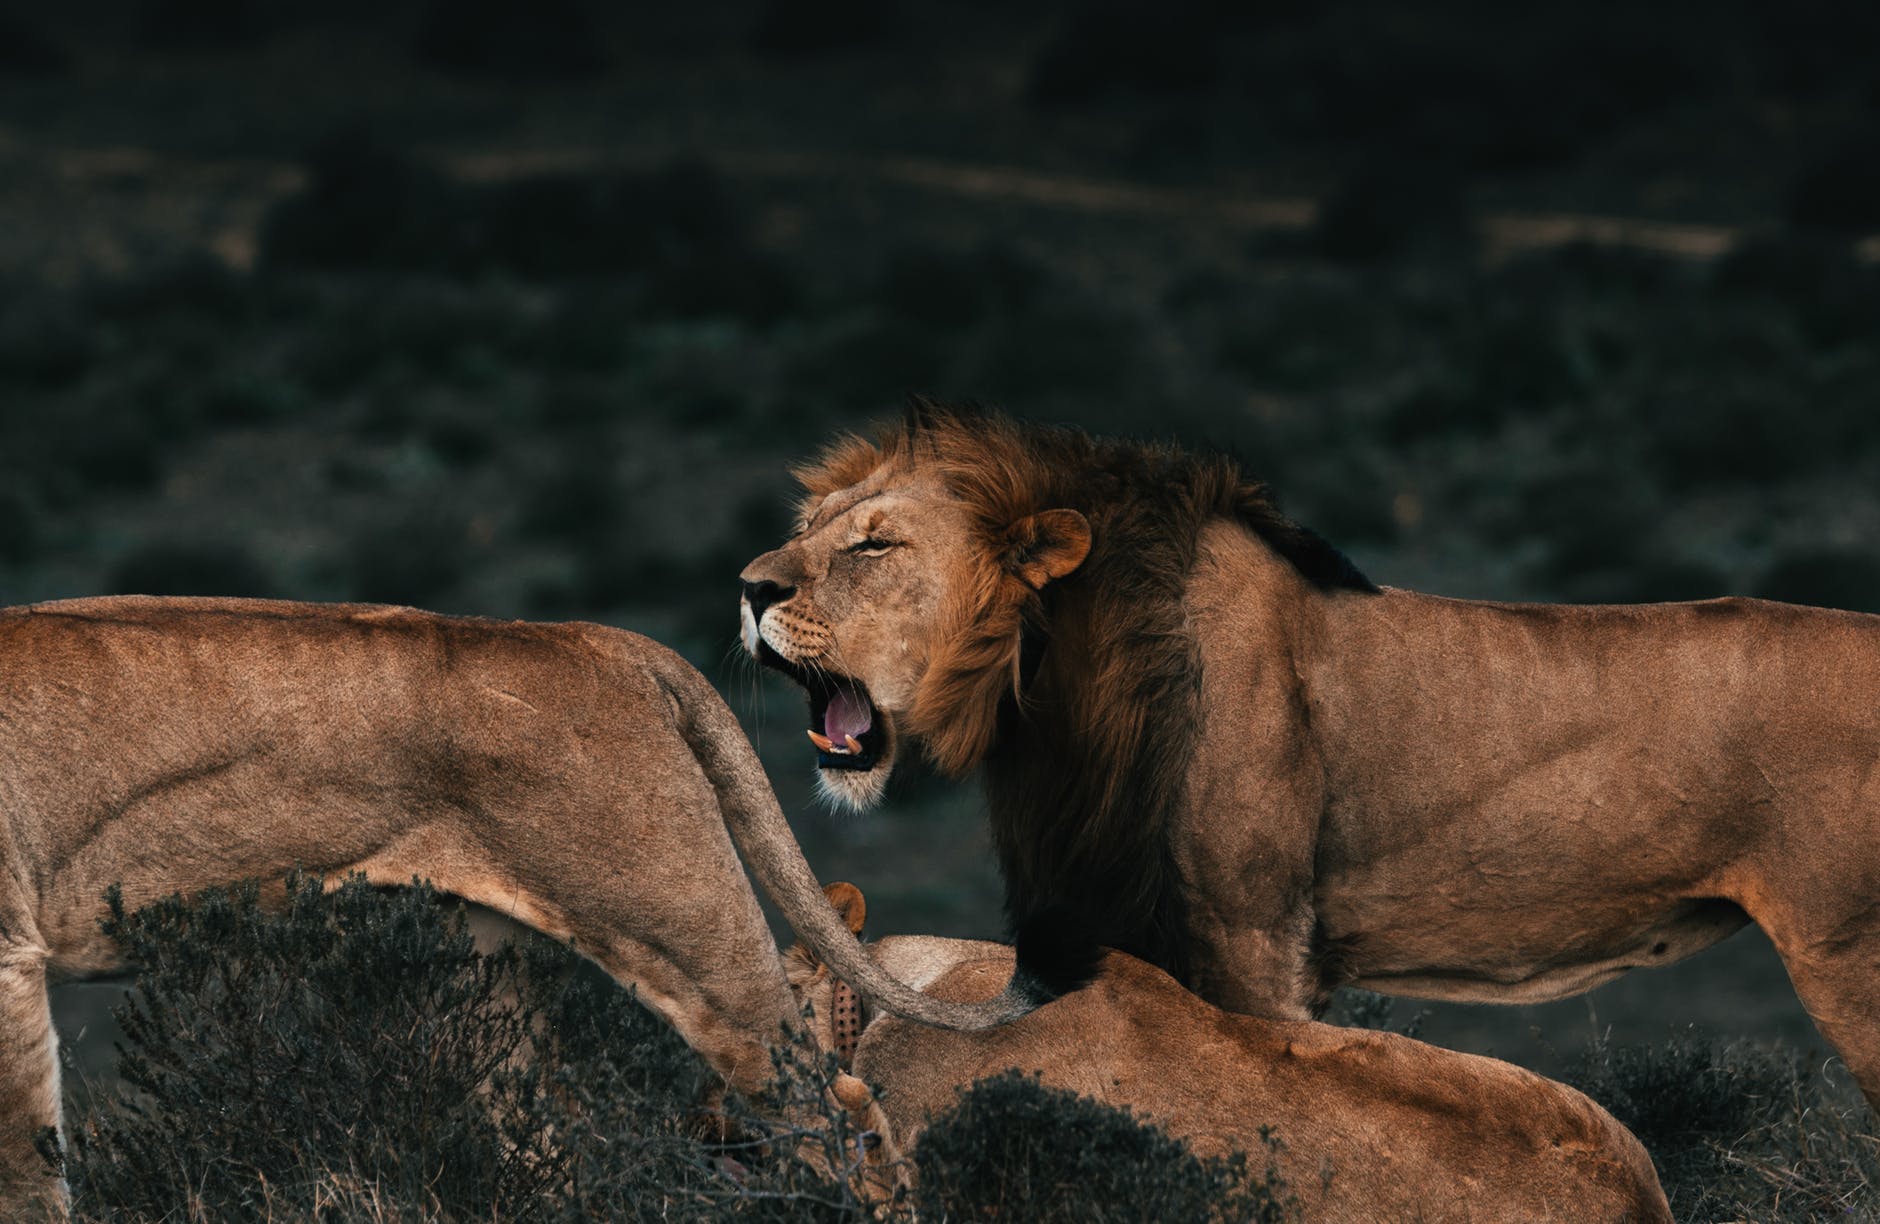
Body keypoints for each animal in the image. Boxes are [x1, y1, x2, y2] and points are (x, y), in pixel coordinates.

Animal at [0, 597, 1060, 1218]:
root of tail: (602, 640)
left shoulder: (5, 956)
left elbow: (27, 1171)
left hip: (685, 932)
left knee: (828, 1104)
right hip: (490, 974)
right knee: (544, 1143)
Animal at [736, 409, 1880, 1113]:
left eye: (874, 545)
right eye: (808, 525)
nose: (746, 588)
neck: (1048, 686)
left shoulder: (1253, 940)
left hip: (1851, 961)